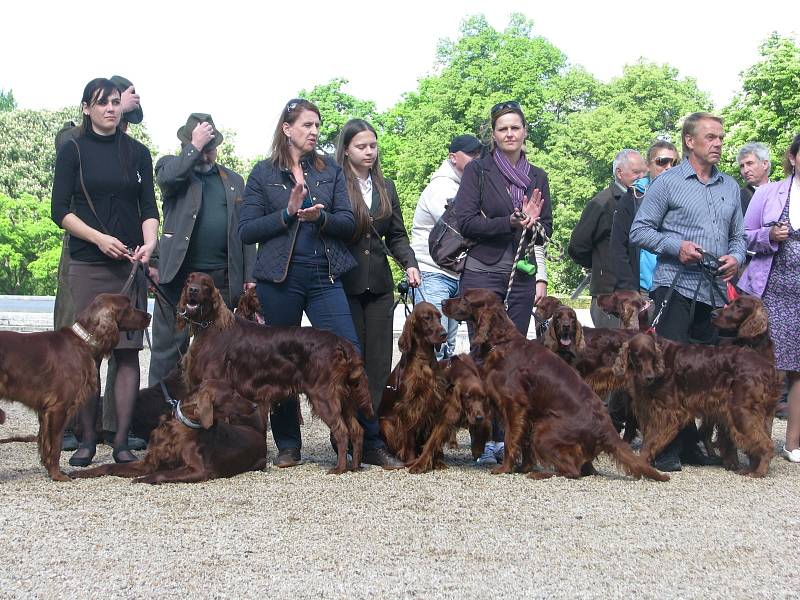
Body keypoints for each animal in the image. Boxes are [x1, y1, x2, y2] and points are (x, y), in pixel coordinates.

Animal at [0, 296, 150, 482]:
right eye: (128, 307)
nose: (150, 316)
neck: (82, 341)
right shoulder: (57, 408)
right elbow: (55, 447)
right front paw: (58, 475)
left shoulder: (47, 412)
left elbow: (47, 445)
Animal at [72, 382, 266, 486]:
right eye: (232, 394)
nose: (255, 406)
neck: (182, 424)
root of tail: (257, 432)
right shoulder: (148, 462)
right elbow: (109, 467)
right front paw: (80, 473)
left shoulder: (200, 470)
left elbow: (162, 473)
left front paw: (144, 479)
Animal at [177, 272, 370, 474]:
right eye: (189, 281)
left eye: (206, 285)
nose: (193, 290)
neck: (210, 326)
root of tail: (340, 342)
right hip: (345, 397)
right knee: (357, 431)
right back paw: (355, 466)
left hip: (324, 395)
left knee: (342, 431)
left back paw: (339, 468)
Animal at [440, 288, 664, 480]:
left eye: (465, 298)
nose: (442, 302)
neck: (501, 342)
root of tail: (605, 430)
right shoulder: (528, 413)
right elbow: (524, 443)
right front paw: (523, 467)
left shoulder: (515, 404)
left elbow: (511, 438)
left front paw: (505, 468)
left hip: (544, 430)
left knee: (572, 471)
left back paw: (542, 473)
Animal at [612, 332, 780, 478]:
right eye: (637, 356)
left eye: (652, 356)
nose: (649, 377)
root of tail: (769, 368)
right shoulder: (648, 411)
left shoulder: (667, 412)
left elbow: (649, 443)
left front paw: (641, 463)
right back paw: (750, 469)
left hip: (742, 412)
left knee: (767, 444)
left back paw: (758, 472)